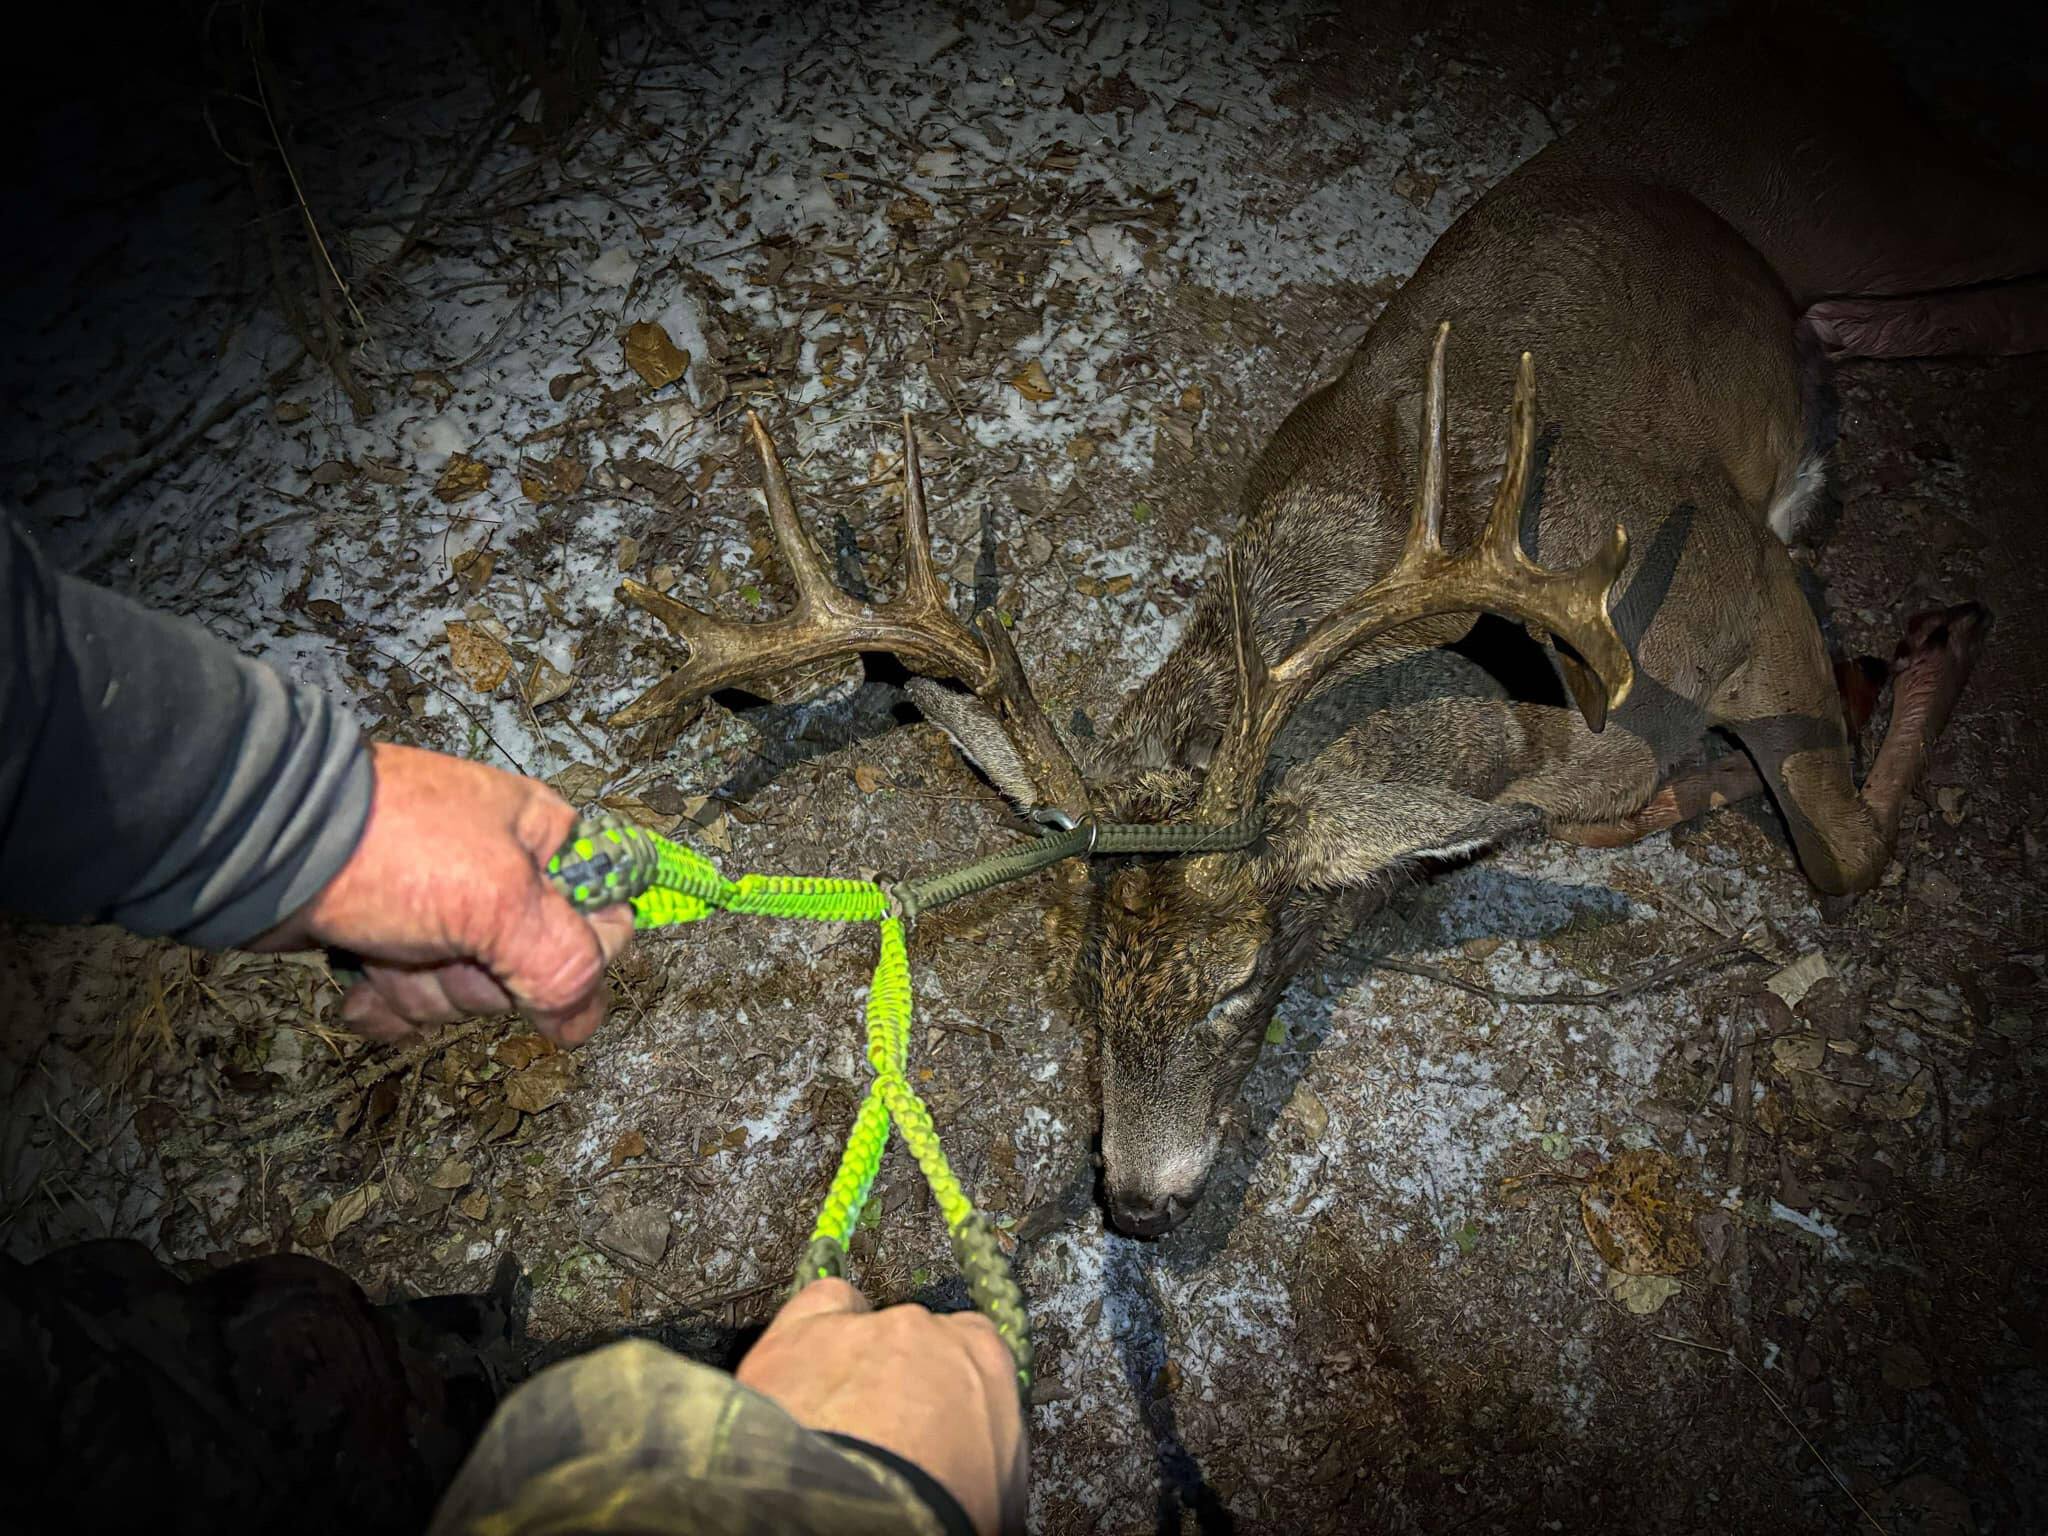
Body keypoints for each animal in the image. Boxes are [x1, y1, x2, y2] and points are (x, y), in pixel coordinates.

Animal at [610, 21, 2043, 1236]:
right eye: (1081, 978)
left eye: (1243, 979)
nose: (1135, 1204)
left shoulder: (1740, 589)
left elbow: (1844, 854)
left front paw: (1899, 666)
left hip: (1884, 198)